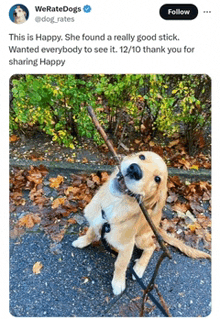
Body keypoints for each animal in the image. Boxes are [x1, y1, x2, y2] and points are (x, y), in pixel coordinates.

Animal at [72, 151, 210, 296]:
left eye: (157, 179)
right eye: (142, 156)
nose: (135, 170)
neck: (113, 207)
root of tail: (156, 226)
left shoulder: (127, 245)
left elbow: (120, 264)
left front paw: (118, 282)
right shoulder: (96, 221)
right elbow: (90, 233)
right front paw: (82, 241)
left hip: (139, 239)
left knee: (152, 246)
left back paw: (139, 268)